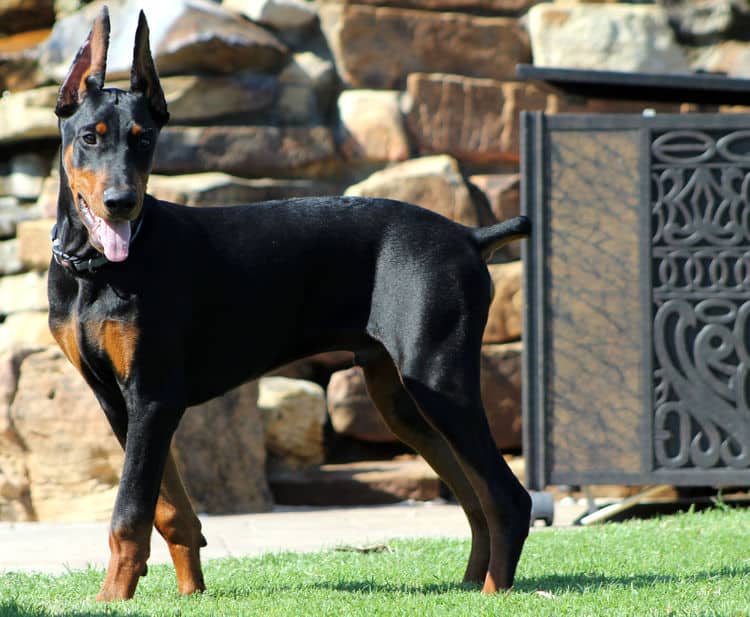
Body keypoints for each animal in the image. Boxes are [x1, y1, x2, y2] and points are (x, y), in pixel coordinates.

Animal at [48, 7, 536, 600]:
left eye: (144, 141)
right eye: (90, 138)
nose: (122, 202)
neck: (95, 270)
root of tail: (469, 234)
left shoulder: (153, 396)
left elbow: (130, 512)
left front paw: (111, 599)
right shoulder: (118, 402)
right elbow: (169, 509)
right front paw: (190, 592)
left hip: (439, 380)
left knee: (507, 495)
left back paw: (493, 593)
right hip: (401, 401)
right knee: (474, 495)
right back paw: (469, 585)